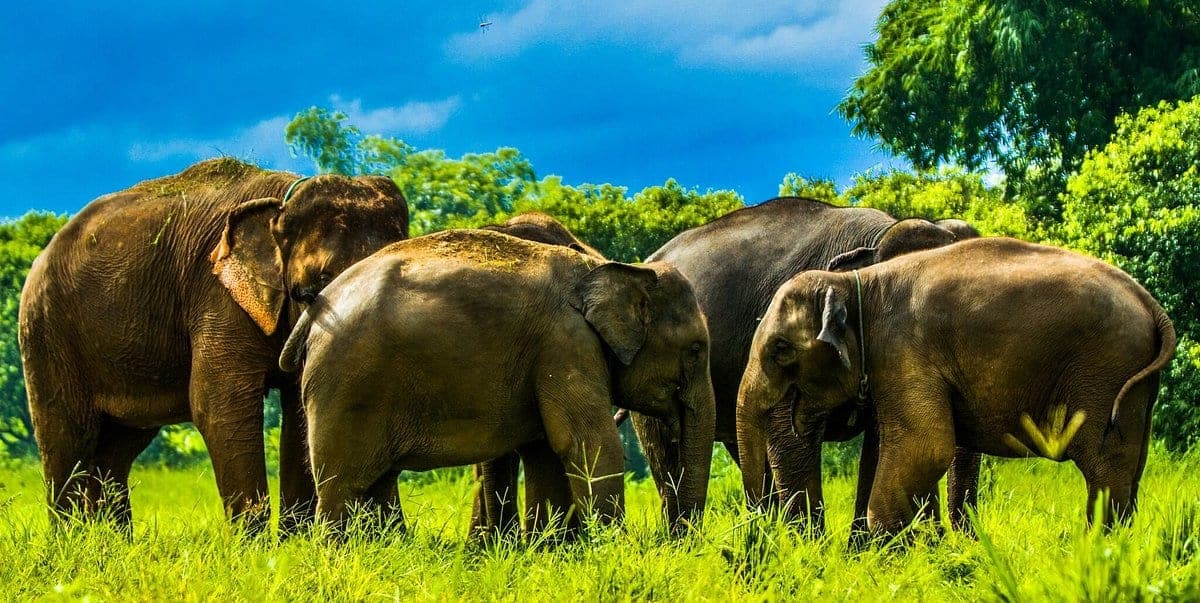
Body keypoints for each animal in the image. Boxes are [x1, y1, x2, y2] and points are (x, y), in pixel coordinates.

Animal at [19, 158, 409, 532]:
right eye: (310, 291)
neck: (280, 204)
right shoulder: (216, 294)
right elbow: (219, 402)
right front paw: (255, 547)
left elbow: (301, 408)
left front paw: (296, 541)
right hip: (47, 331)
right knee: (67, 435)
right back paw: (71, 540)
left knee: (118, 447)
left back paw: (110, 542)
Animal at [278, 229, 716, 537]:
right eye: (695, 349)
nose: (673, 541)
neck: (609, 267)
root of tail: (315, 309)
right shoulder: (566, 344)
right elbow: (587, 445)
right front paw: (611, 549)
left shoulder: (550, 355)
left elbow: (545, 453)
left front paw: (553, 554)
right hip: (344, 386)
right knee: (342, 488)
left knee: (375, 484)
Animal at [636, 196, 978, 533]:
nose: (963, 538)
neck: (877, 237)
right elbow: (788, 434)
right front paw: (811, 544)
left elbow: (884, 440)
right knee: (667, 449)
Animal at [737, 237, 1175, 536]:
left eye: (780, 349)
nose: (758, 523)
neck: (853, 282)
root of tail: (1151, 303)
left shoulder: (903, 351)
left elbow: (926, 448)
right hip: (1135, 385)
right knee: (1130, 470)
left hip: (1104, 371)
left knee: (1105, 470)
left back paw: (1095, 550)